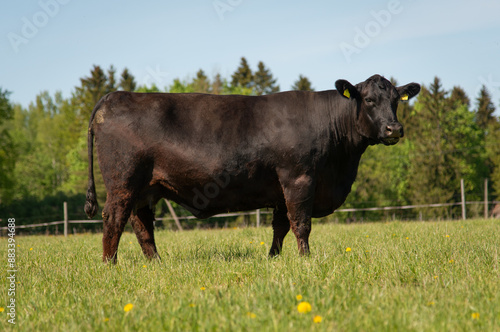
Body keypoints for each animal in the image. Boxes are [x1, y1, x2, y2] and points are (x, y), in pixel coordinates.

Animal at [85, 74, 418, 262]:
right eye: (370, 100)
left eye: (396, 101)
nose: (394, 129)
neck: (341, 168)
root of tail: (112, 97)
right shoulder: (299, 178)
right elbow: (301, 224)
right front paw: (306, 260)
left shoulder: (282, 188)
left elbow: (280, 227)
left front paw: (273, 259)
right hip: (123, 181)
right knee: (114, 219)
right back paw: (109, 265)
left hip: (145, 189)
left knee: (142, 225)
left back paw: (156, 263)